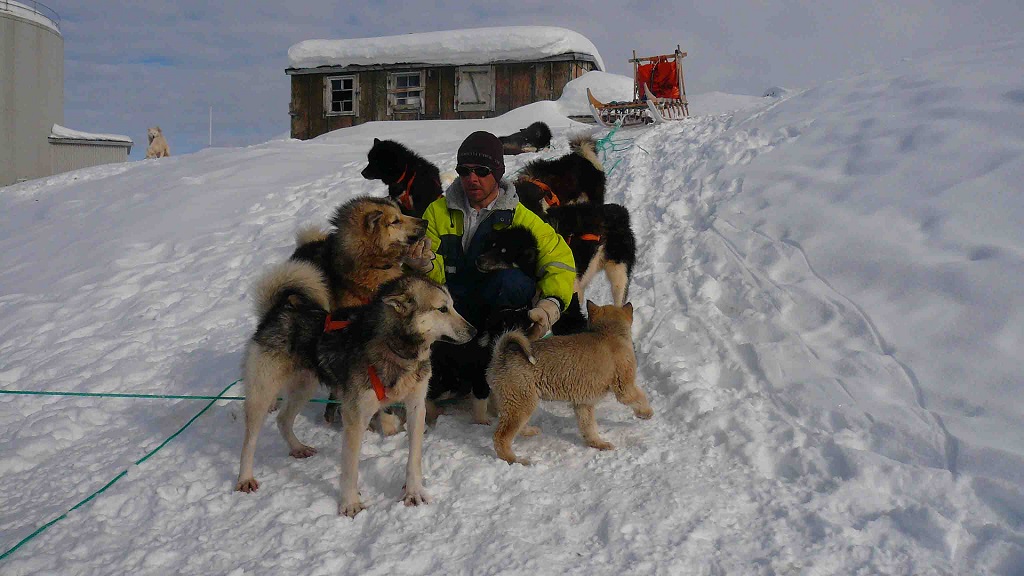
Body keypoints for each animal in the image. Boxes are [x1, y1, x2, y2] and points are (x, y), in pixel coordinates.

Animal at [235, 270, 471, 516]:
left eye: (453, 305)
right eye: (442, 309)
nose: (473, 330)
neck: (395, 350)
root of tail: (277, 312)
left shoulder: (416, 407)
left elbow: (413, 459)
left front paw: (413, 492)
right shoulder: (355, 417)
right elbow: (350, 468)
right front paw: (350, 503)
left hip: (304, 388)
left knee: (283, 419)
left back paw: (298, 448)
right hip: (262, 395)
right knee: (249, 442)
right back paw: (245, 478)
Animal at [485, 297, 647, 463]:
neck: (607, 332)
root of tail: (500, 355)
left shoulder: (583, 404)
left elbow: (589, 427)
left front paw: (597, 444)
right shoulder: (625, 388)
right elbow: (640, 398)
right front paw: (647, 413)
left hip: (517, 404)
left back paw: (529, 432)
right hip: (520, 403)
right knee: (501, 437)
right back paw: (515, 460)